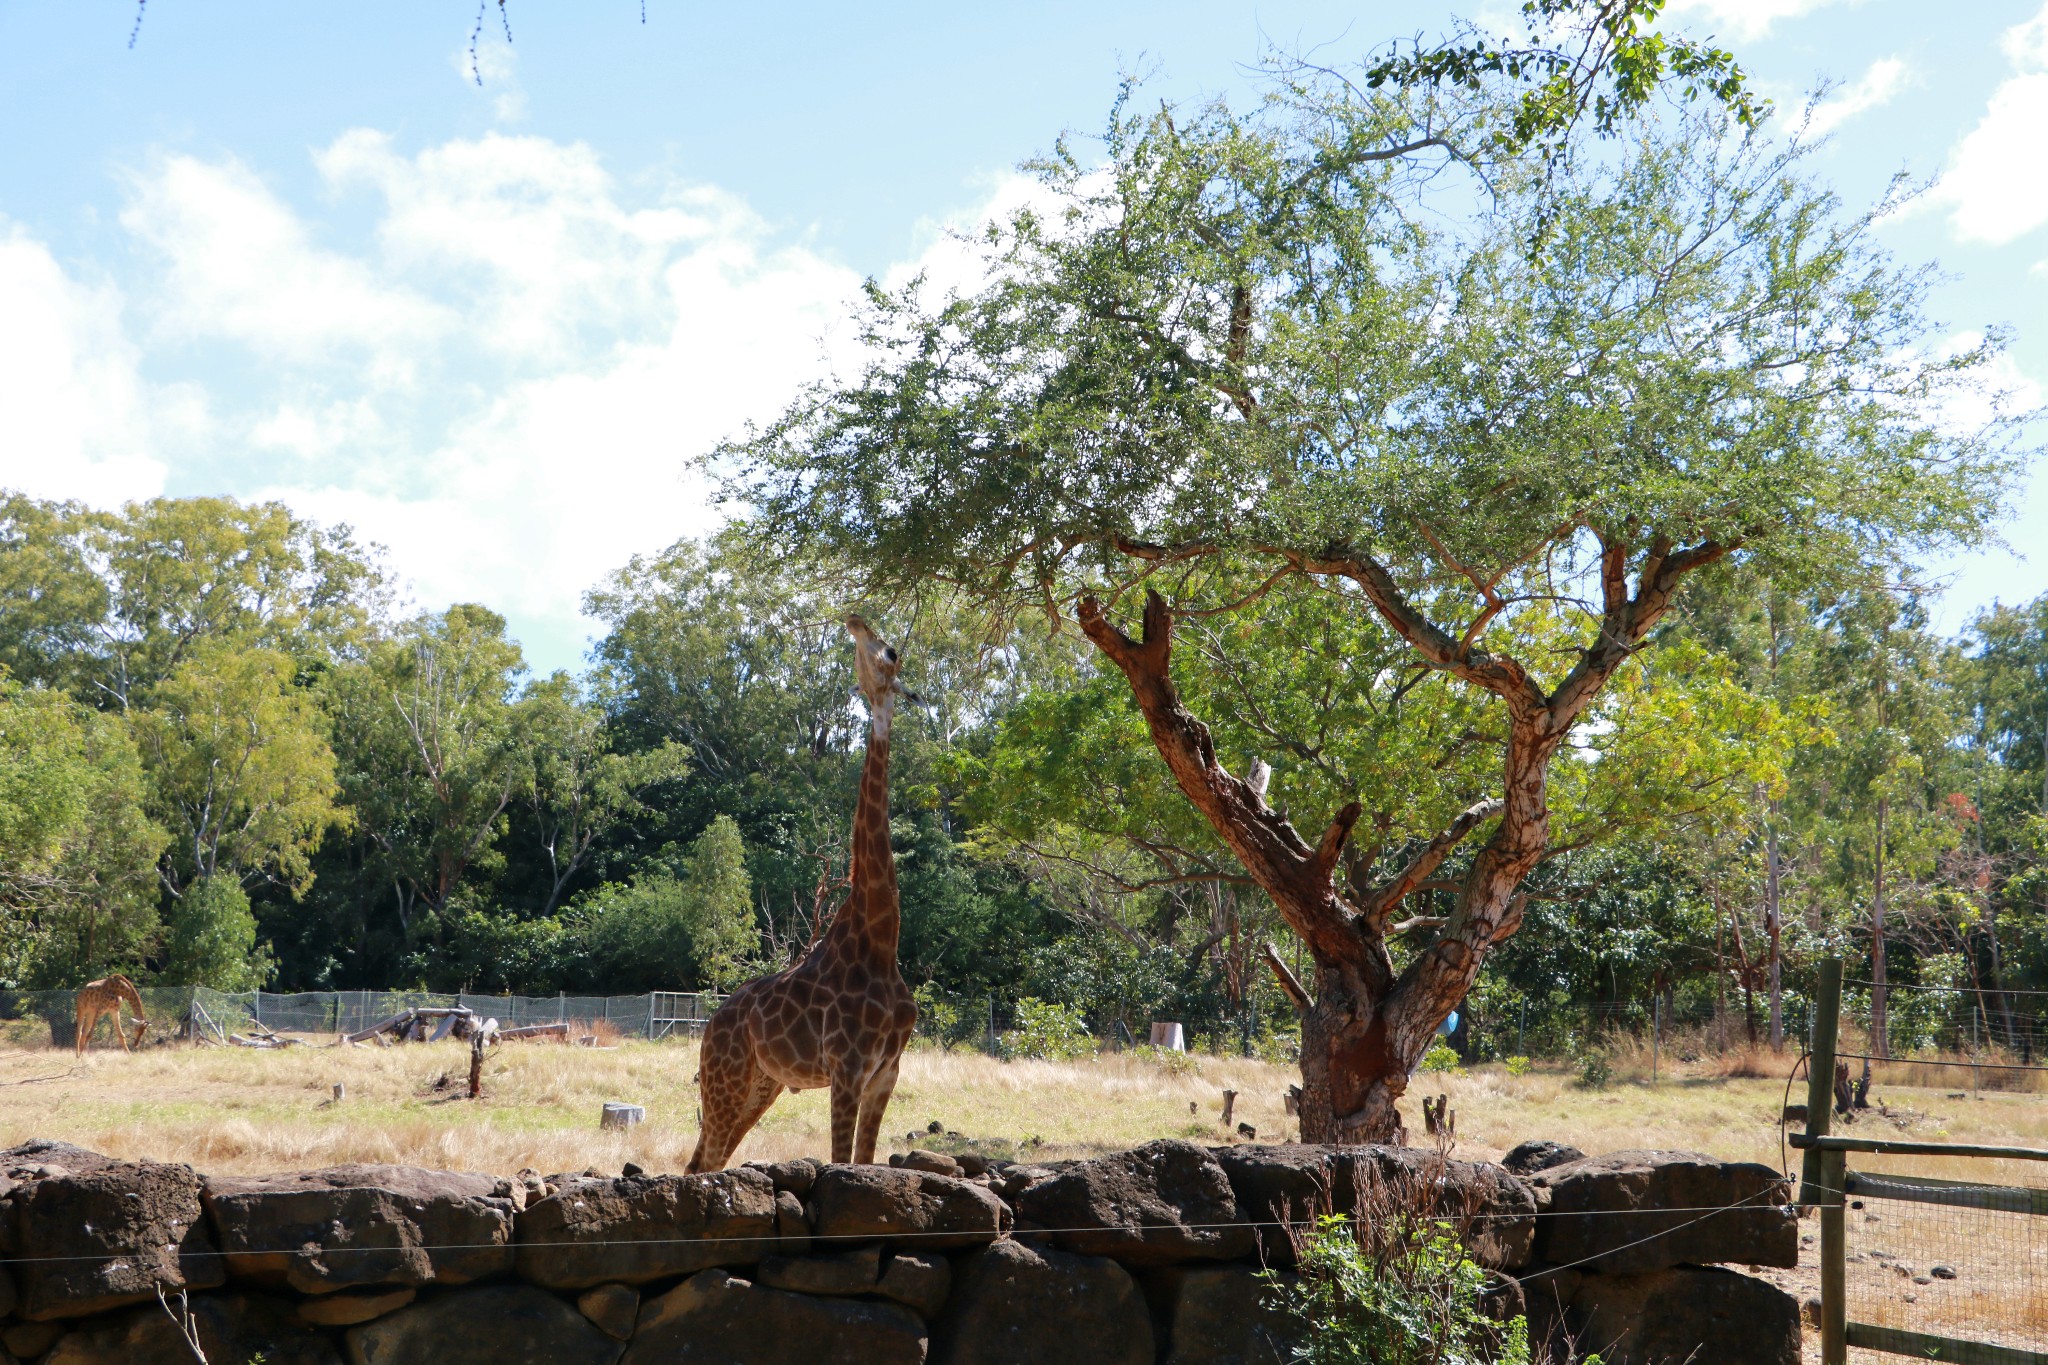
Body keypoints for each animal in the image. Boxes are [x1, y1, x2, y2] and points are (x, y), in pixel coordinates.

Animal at [684, 613, 917, 1170]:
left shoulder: (885, 1074)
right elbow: (840, 1164)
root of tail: (710, 1024)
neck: (882, 942)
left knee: (707, 1161)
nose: (855, 619)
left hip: (759, 1085)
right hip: (726, 1079)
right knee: (701, 1164)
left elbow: (862, 1164)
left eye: (891, 652)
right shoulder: (847, 1069)